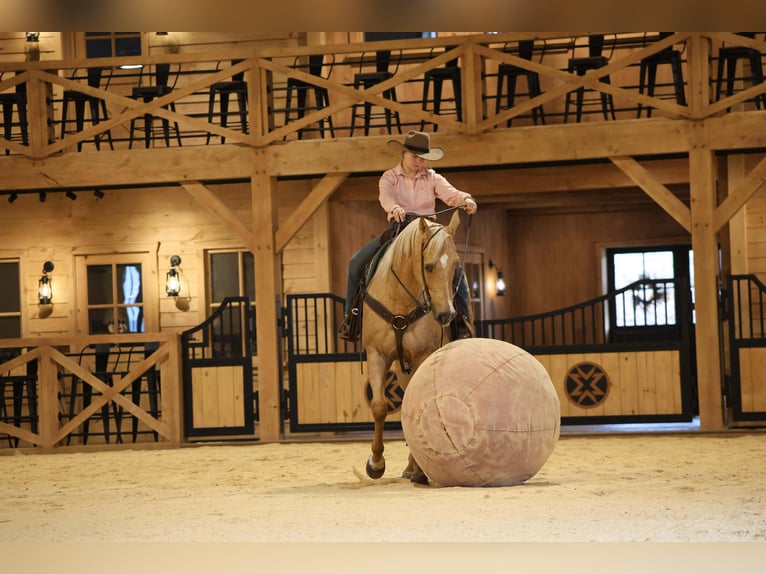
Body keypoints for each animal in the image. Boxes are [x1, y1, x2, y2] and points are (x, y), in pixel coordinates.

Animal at [362, 209, 462, 484]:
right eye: (428, 266)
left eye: (455, 265)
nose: (447, 315)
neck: (400, 301)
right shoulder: (376, 354)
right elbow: (379, 407)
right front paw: (375, 463)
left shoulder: (421, 355)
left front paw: (418, 469)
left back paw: (415, 468)